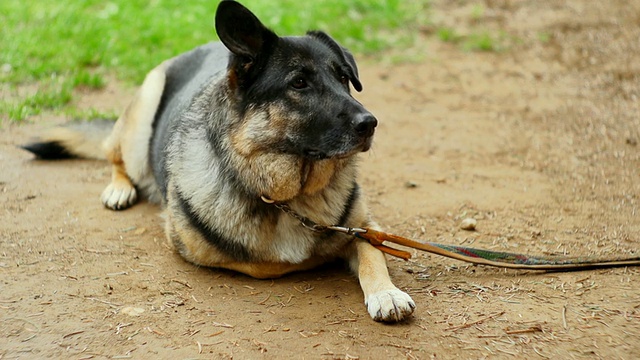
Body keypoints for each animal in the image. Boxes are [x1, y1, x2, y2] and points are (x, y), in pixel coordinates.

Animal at [21, 0, 416, 320]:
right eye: (299, 83)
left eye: (344, 78)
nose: (370, 123)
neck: (288, 197)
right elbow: (267, 263)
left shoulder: (364, 226)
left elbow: (372, 252)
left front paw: (386, 293)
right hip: (140, 122)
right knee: (114, 155)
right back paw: (120, 188)